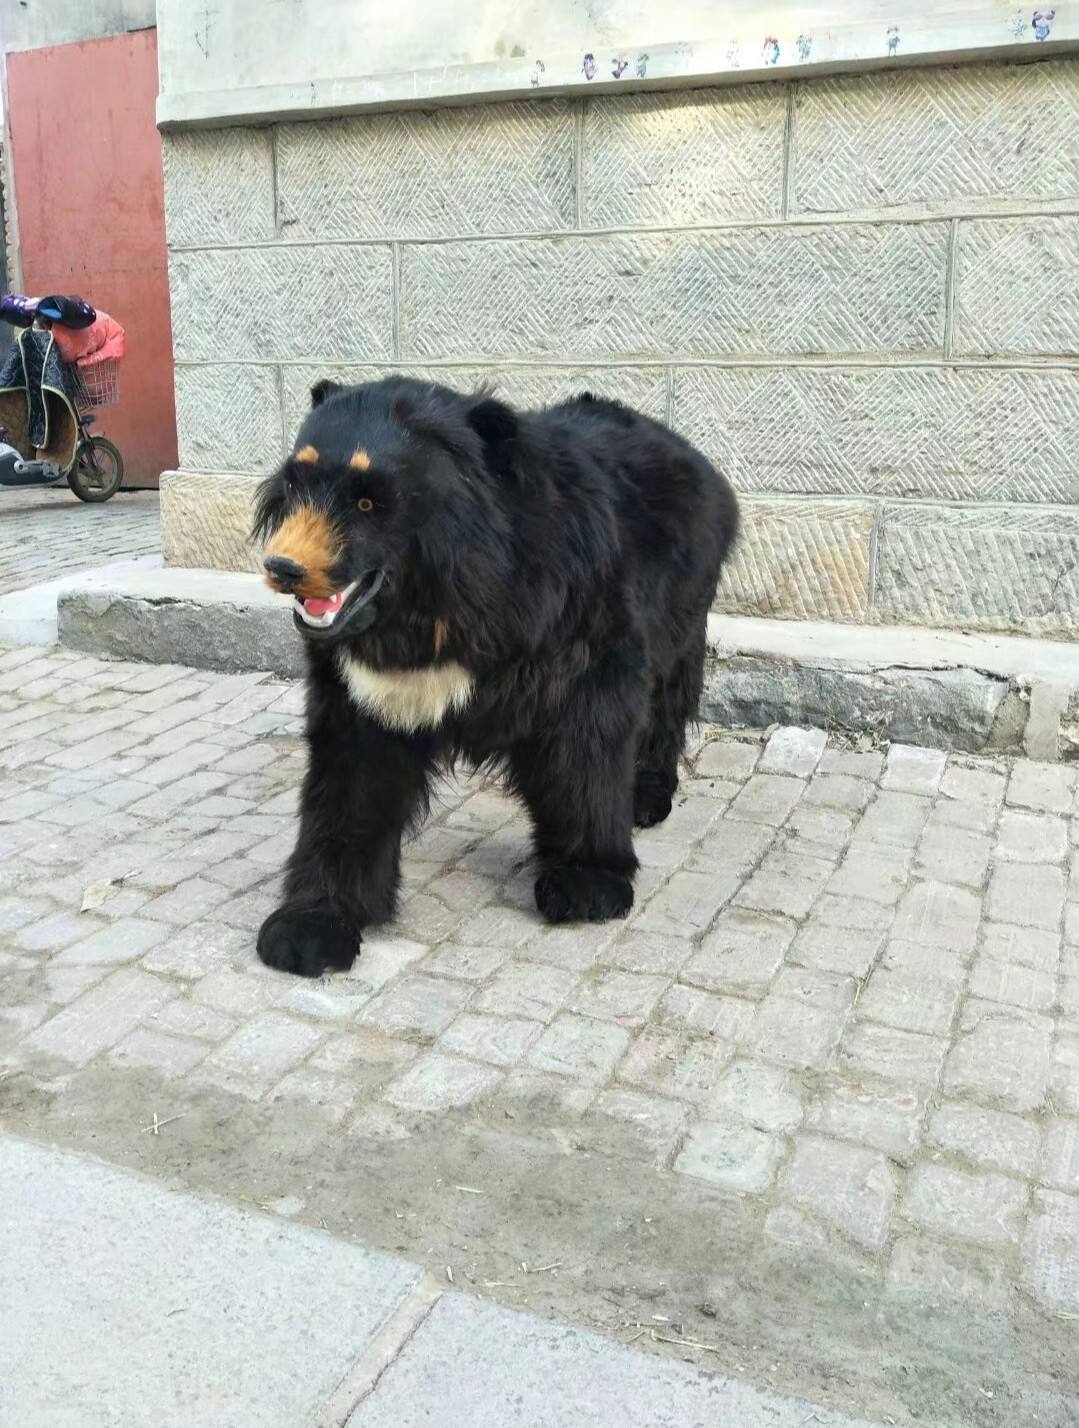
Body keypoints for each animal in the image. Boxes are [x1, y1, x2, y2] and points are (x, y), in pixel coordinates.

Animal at [254, 376, 739, 978]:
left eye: (368, 501)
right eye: (295, 486)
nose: (282, 567)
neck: (435, 604)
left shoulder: (571, 615)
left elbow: (585, 739)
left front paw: (587, 884)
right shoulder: (366, 680)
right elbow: (350, 775)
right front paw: (307, 931)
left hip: (685, 598)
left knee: (668, 696)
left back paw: (646, 796)